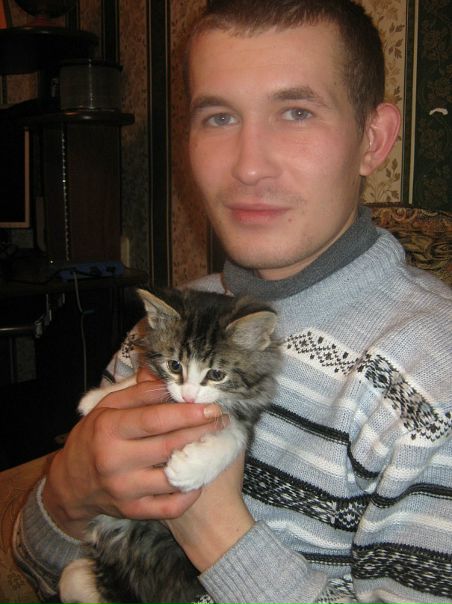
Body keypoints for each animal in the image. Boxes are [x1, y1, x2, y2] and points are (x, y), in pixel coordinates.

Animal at [59, 287, 281, 604]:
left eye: (216, 374)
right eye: (174, 365)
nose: (188, 396)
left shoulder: (247, 419)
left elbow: (233, 436)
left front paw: (187, 468)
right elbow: (141, 382)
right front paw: (98, 398)